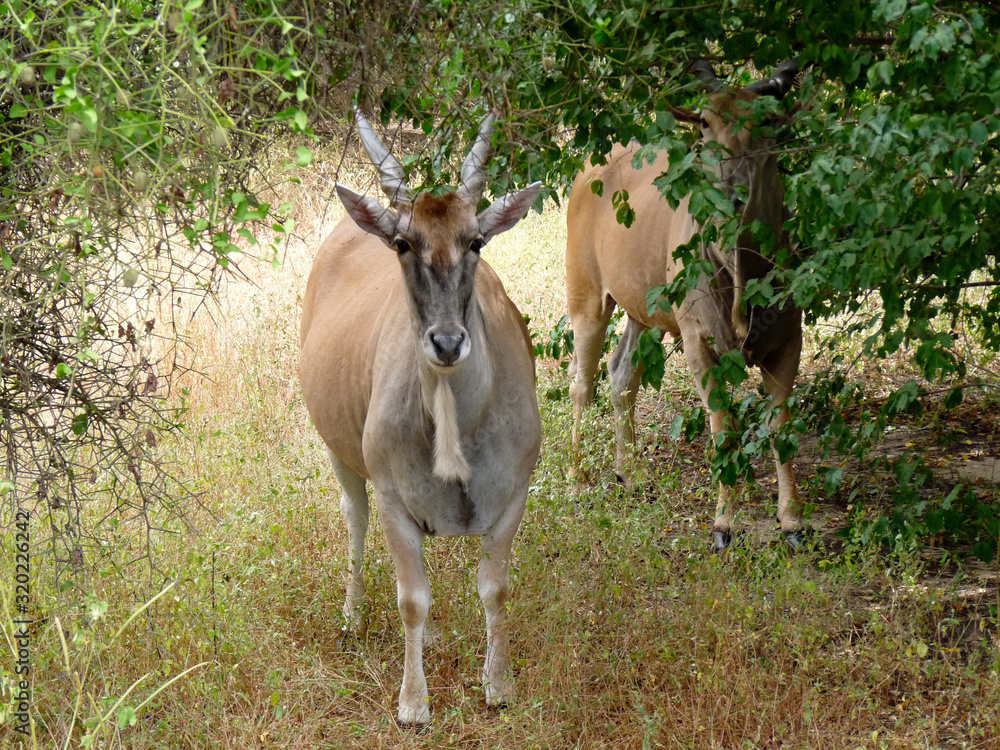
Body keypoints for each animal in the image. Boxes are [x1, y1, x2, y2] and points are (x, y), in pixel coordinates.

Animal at [300, 108, 544, 724]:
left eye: (475, 239)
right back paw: (353, 617)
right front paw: (413, 703)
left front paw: (499, 685)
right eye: (403, 242)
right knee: (355, 521)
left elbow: (494, 589)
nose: (447, 342)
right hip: (339, 454)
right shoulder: (393, 498)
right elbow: (412, 599)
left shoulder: (513, 497)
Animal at [564, 60, 804, 552]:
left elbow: (781, 428)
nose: (732, 192)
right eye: (706, 124)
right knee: (583, 382)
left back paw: (630, 473)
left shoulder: (788, 341)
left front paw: (792, 522)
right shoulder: (698, 343)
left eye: (764, 123)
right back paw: (578, 478)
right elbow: (723, 430)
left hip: (645, 314)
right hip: (587, 298)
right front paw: (723, 525)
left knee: (622, 374)